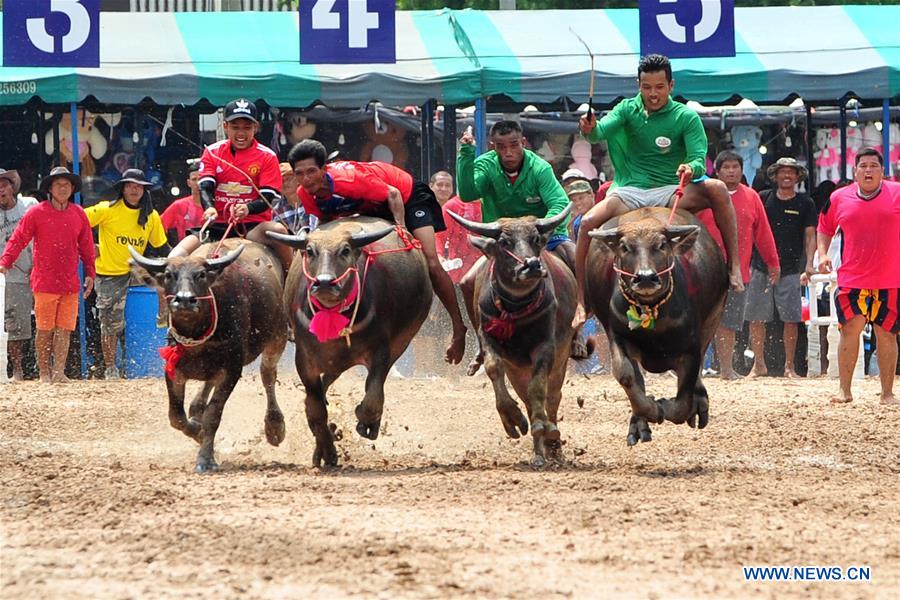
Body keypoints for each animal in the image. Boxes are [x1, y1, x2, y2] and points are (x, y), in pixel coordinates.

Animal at [126, 240, 286, 474]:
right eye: (168, 274)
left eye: (200, 274)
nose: (184, 300)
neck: (197, 337)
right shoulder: (173, 370)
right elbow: (176, 416)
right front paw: (197, 431)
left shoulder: (231, 370)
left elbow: (213, 415)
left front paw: (205, 458)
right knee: (204, 390)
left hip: (277, 336)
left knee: (268, 375)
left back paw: (275, 426)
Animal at [268, 217, 432, 468]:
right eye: (310, 251)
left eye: (344, 251)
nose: (324, 283)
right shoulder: (304, 360)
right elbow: (316, 411)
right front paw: (327, 451)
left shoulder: (381, 351)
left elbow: (372, 398)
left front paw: (365, 423)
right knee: (322, 390)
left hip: (400, 343)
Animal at [444, 206, 576, 468]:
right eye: (505, 242)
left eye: (536, 239)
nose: (532, 266)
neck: (516, 310)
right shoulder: (490, 340)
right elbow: (494, 369)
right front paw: (513, 419)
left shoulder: (546, 347)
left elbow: (539, 389)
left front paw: (542, 425)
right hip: (517, 368)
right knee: (527, 398)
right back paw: (539, 453)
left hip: (561, 355)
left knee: (552, 396)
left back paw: (552, 443)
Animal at [588, 206, 728, 446]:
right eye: (624, 247)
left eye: (662, 245)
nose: (645, 278)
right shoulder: (617, 335)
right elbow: (625, 374)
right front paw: (651, 409)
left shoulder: (690, 348)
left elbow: (683, 401)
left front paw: (665, 405)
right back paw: (639, 424)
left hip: (713, 319)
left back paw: (699, 402)